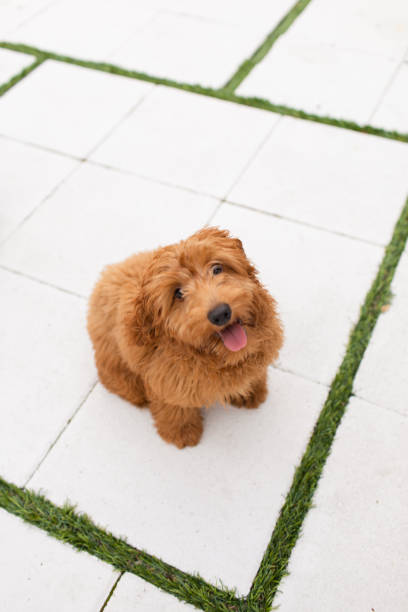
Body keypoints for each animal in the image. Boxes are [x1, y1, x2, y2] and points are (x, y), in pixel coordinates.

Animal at [87, 227, 284, 448]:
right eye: (178, 293)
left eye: (217, 269)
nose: (220, 313)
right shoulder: (166, 380)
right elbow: (174, 408)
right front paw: (181, 433)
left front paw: (252, 391)